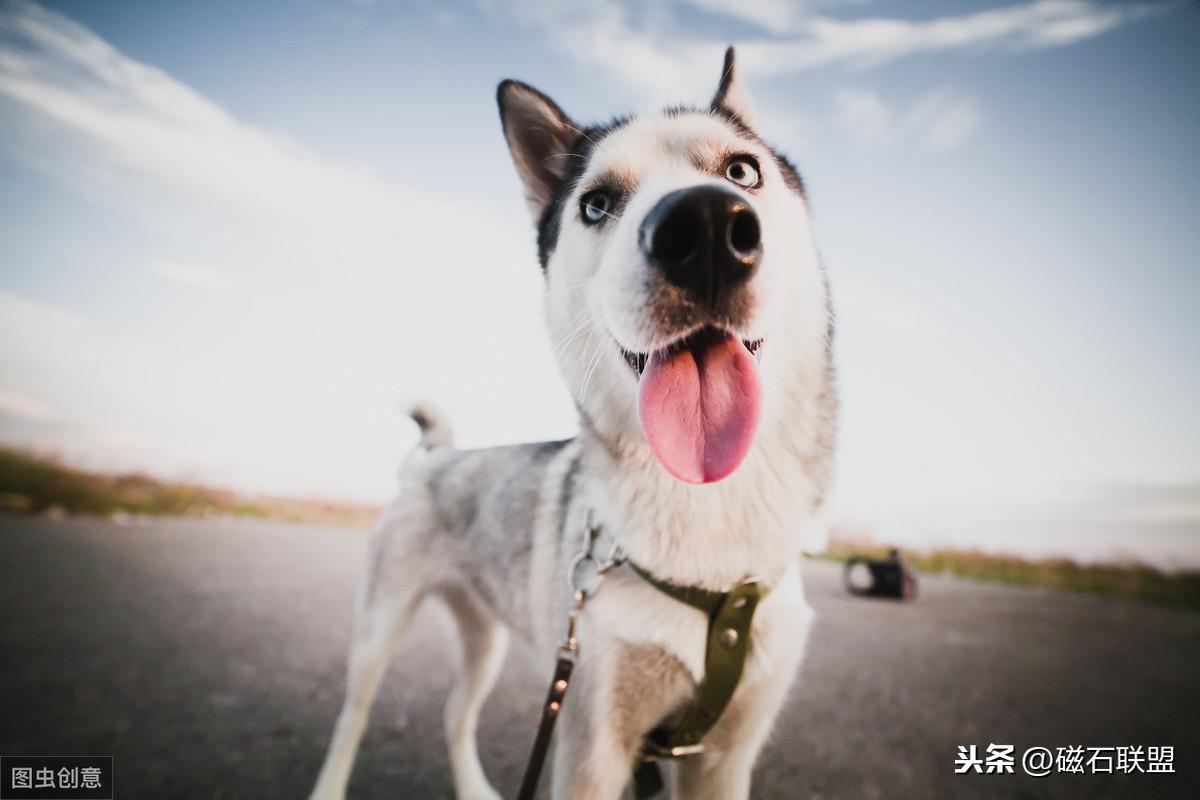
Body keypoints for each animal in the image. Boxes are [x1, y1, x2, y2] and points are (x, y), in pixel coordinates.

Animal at [309, 50, 835, 800]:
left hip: (486, 636)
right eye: (596, 204)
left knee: (453, 712)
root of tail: (433, 458)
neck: (708, 522)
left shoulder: (726, 755)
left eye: (741, 171)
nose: (704, 226)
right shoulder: (593, 739)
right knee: (351, 716)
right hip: (379, 631)